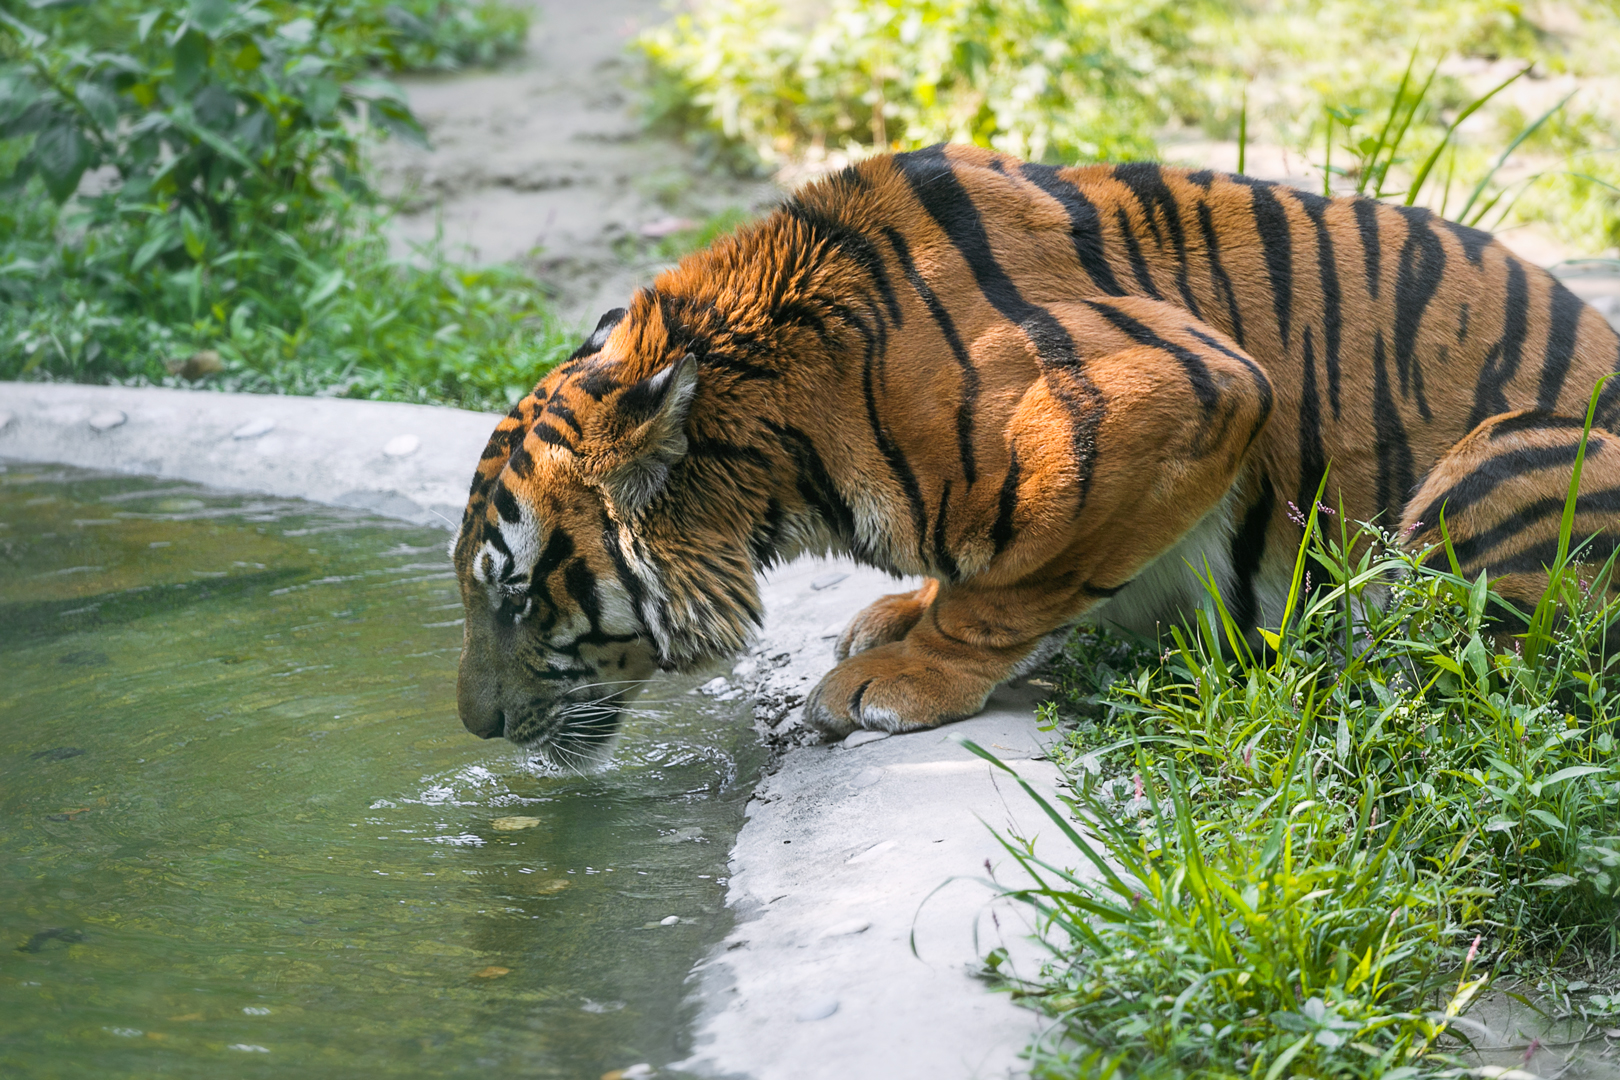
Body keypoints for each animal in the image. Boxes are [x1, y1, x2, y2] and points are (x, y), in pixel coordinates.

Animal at [451, 142, 1620, 762]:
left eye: (514, 595)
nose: (477, 728)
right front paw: (898, 613)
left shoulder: (1183, 389)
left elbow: (1013, 587)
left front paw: (898, 677)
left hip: (1506, 456)